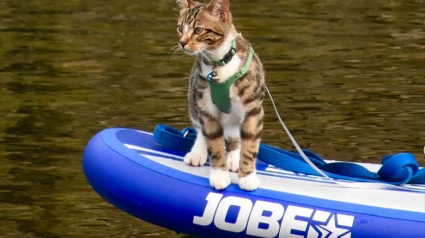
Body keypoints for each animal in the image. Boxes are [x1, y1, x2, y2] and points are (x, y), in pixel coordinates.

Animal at [174, 0, 264, 191]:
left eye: (198, 30)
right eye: (180, 28)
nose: (182, 42)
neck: (218, 63)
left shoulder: (253, 109)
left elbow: (250, 143)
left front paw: (247, 176)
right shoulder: (206, 108)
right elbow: (214, 143)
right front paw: (219, 175)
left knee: (235, 134)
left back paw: (234, 158)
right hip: (194, 99)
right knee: (203, 130)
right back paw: (198, 153)